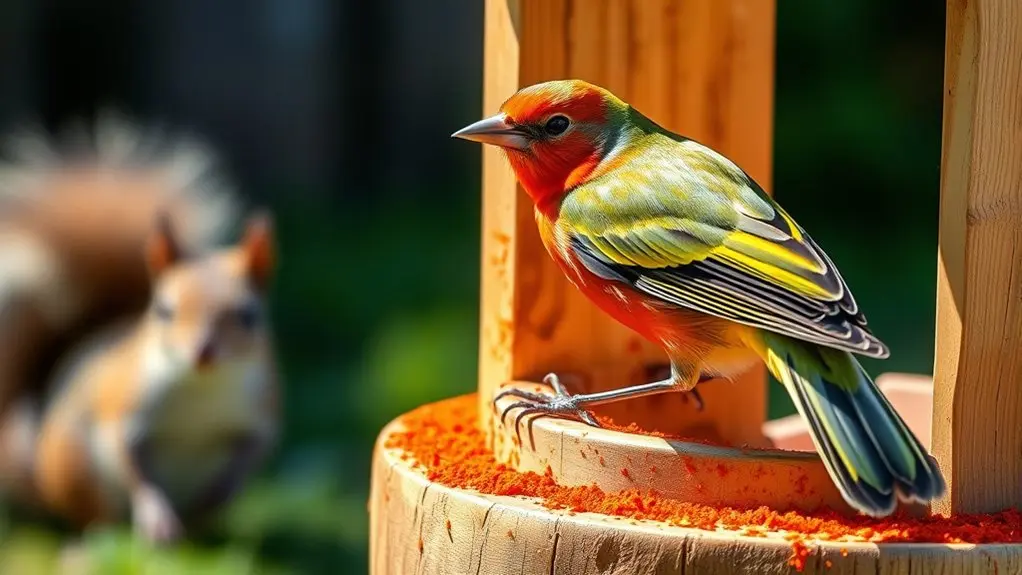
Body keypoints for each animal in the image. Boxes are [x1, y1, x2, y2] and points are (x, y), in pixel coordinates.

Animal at [0, 115, 280, 544]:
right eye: (164, 311)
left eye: (249, 315)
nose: (202, 352)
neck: (201, 390)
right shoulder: (125, 403)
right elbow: (133, 464)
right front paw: (156, 514)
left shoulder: (261, 411)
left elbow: (251, 453)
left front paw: (220, 493)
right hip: (73, 465)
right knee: (96, 520)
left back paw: (200, 523)